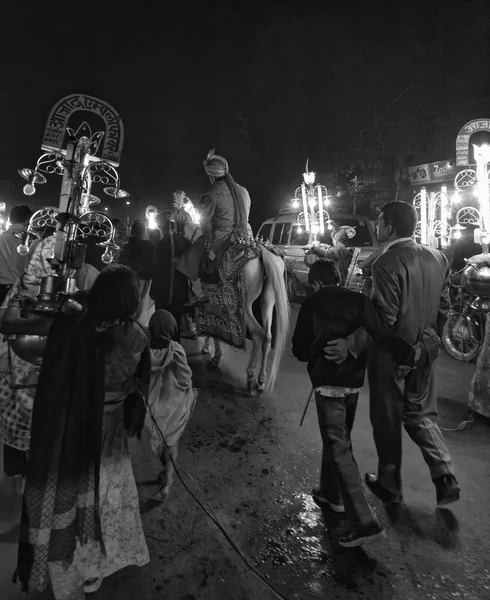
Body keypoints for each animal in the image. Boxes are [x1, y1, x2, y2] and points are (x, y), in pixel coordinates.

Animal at [200, 251, 290, 396]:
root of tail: (263, 251)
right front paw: (207, 347)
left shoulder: (213, 298)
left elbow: (214, 327)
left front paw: (215, 358)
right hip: (268, 300)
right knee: (267, 336)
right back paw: (261, 380)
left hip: (246, 306)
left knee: (258, 333)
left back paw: (251, 379)